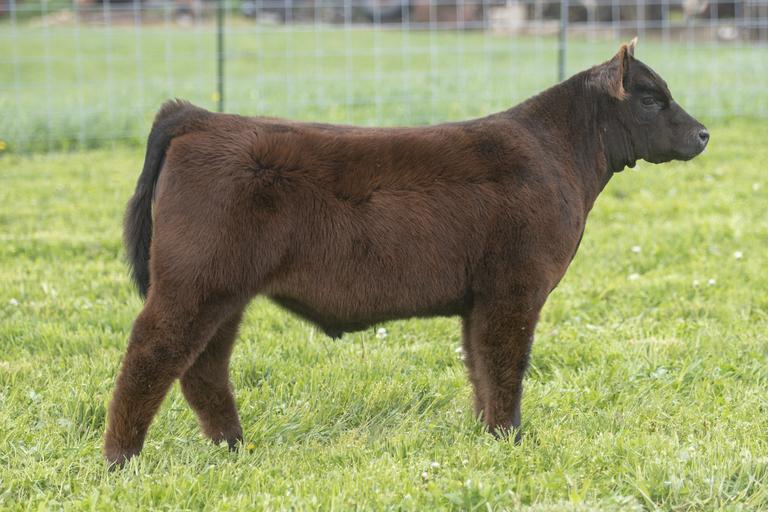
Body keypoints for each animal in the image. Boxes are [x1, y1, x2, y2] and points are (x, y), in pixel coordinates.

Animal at [103, 38, 708, 466]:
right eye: (651, 99)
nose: (703, 134)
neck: (558, 155)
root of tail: (203, 117)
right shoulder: (515, 287)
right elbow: (507, 363)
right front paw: (511, 438)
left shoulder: (480, 298)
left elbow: (481, 366)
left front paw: (489, 436)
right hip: (194, 282)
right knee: (151, 354)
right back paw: (120, 461)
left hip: (225, 292)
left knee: (204, 367)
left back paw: (233, 447)